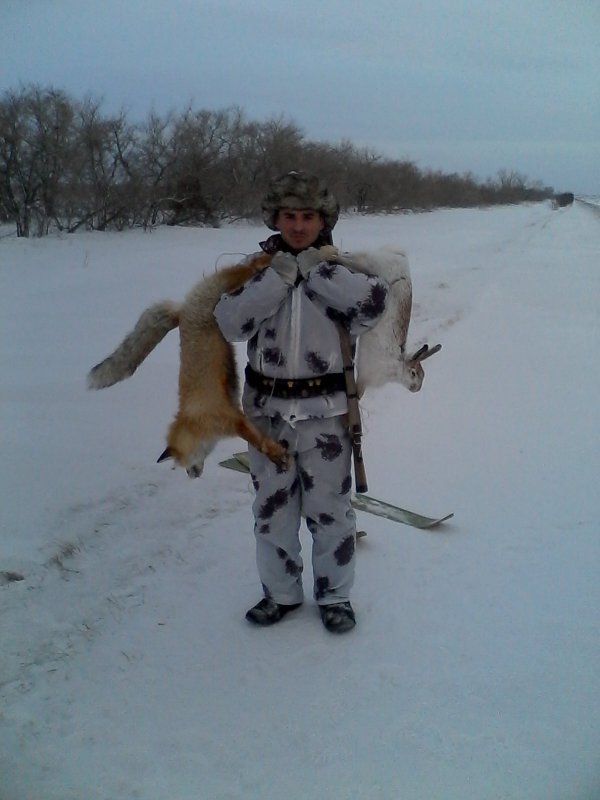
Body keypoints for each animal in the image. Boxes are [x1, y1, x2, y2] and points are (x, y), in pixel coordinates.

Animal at [87, 253, 289, 477]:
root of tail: (183, 311)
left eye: (182, 464)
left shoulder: (234, 420)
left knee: (246, 266)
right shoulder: (235, 418)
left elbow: (258, 442)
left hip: (226, 285)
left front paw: (275, 454)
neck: (196, 421)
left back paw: (265, 258)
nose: (192, 476)